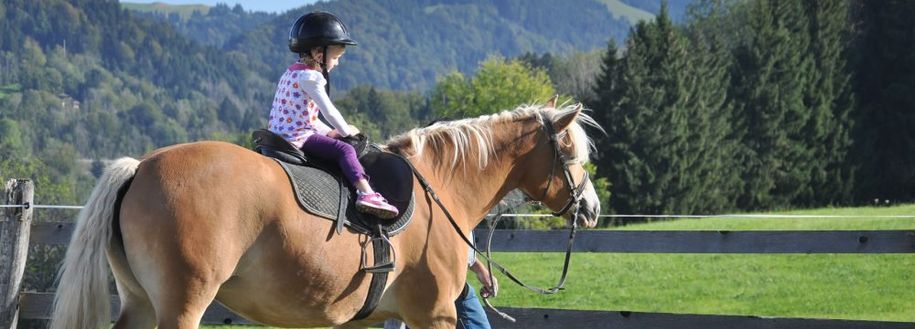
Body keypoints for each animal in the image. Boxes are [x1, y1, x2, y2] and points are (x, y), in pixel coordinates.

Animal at [53, 102, 604, 328]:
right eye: (571, 152)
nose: (592, 208)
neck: (439, 186)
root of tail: (141, 167)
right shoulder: (435, 315)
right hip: (181, 306)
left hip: (141, 302)